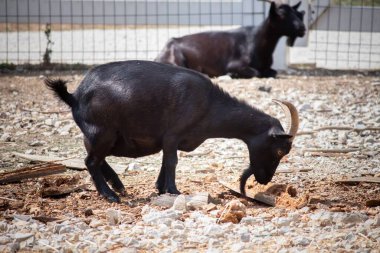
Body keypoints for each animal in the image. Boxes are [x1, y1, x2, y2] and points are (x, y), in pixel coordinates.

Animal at [45, 60, 300, 203]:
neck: (209, 104)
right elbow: (172, 162)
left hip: (100, 136)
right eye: (280, 151)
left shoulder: (168, 140)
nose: (264, 180)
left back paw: (118, 185)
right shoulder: (173, 135)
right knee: (90, 161)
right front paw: (174, 191)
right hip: (103, 133)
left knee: (94, 158)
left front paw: (161, 189)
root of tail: (75, 95)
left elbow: (164, 162)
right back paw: (111, 195)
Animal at [154, 0, 306, 78]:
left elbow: (273, 72)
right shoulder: (235, 64)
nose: (302, 29)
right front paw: (232, 74)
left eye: (297, 13)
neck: (256, 43)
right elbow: (256, 73)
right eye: (282, 14)